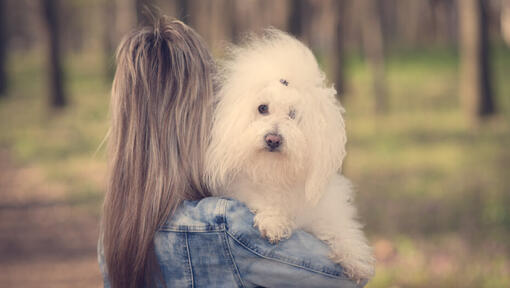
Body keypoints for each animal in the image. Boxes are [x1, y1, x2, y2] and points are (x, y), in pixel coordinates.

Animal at [203, 29, 374, 280]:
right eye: (262, 108)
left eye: (293, 114)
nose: (273, 139)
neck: (277, 173)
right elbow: (264, 201)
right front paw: (274, 222)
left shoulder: (323, 211)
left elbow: (339, 228)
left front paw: (354, 257)